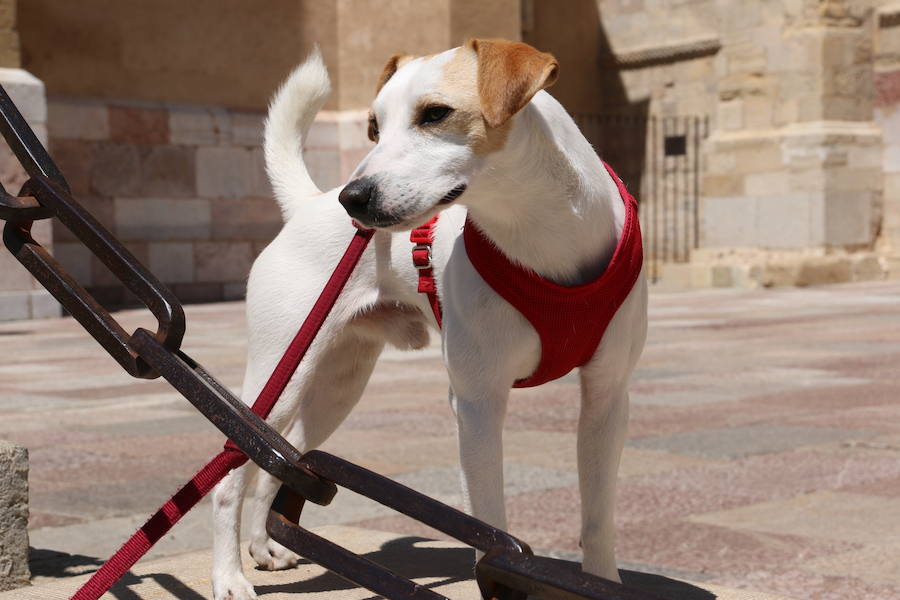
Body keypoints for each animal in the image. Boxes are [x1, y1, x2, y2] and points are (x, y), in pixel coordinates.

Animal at [211, 38, 648, 600]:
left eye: (435, 114)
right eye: (373, 127)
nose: (353, 197)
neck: (542, 238)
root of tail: (308, 205)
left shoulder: (607, 396)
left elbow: (598, 517)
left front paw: (602, 581)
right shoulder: (477, 402)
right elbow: (488, 526)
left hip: (338, 383)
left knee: (279, 461)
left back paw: (267, 547)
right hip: (280, 371)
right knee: (232, 473)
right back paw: (228, 577)